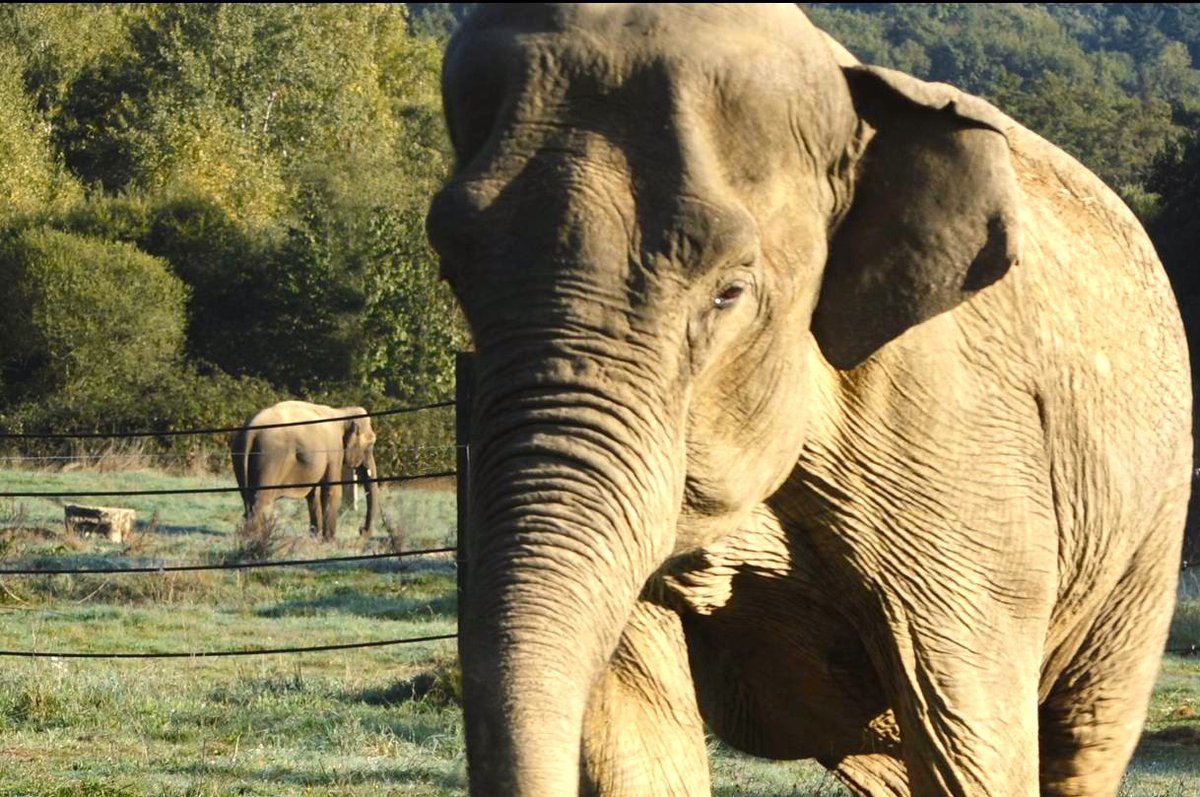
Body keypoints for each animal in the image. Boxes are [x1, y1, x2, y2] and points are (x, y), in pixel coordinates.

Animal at [230, 400, 378, 541]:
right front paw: (330, 541)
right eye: (371, 443)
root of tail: (250, 431)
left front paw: (315, 539)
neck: (342, 413)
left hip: (238, 455)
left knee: (247, 501)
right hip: (270, 458)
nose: (361, 530)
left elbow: (314, 495)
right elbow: (331, 491)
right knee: (261, 502)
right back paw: (255, 541)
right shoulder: (334, 450)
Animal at [424, 5, 1192, 796]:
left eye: (729, 291)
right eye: (452, 273)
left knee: (1084, 731)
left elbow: (966, 733)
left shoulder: (956, 440)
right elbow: (631, 727)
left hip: (1149, 533)